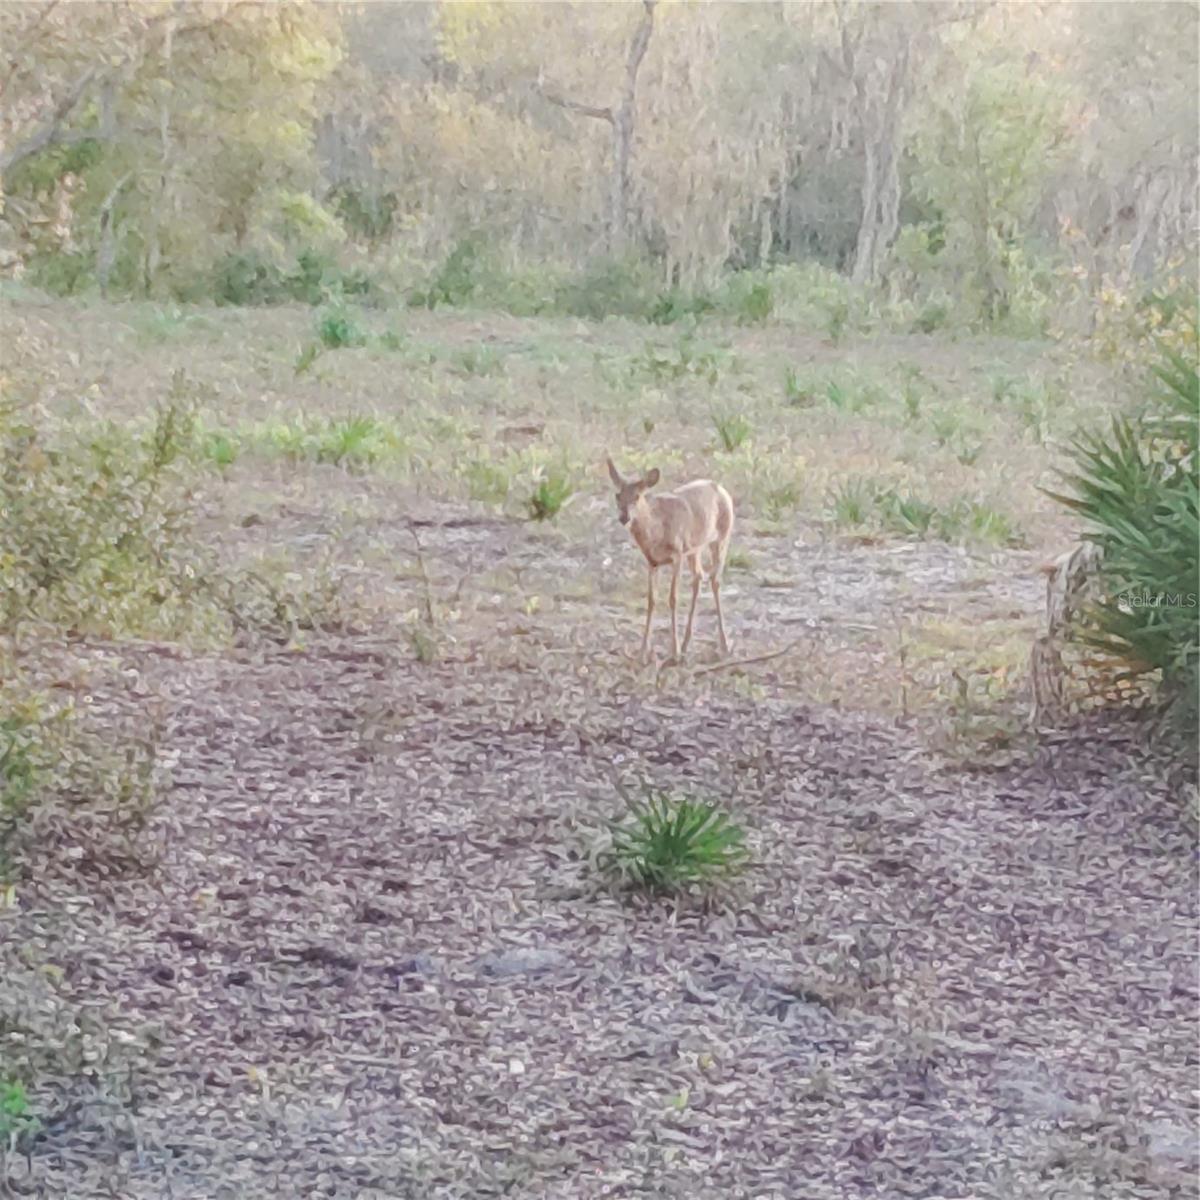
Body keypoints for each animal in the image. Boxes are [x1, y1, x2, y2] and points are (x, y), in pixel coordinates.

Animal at [606, 456, 734, 663]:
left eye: (637, 496)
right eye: (618, 495)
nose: (624, 517)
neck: (657, 530)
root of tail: (722, 489)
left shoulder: (677, 554)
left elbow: (673, 598)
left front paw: (674, 651)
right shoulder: (652, 562)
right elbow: (651, 601)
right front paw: (642, 653)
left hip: (722, 537)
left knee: (715, 580)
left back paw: (724, 645)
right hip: (695, 549)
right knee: (699, 577)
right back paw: (687, 643)